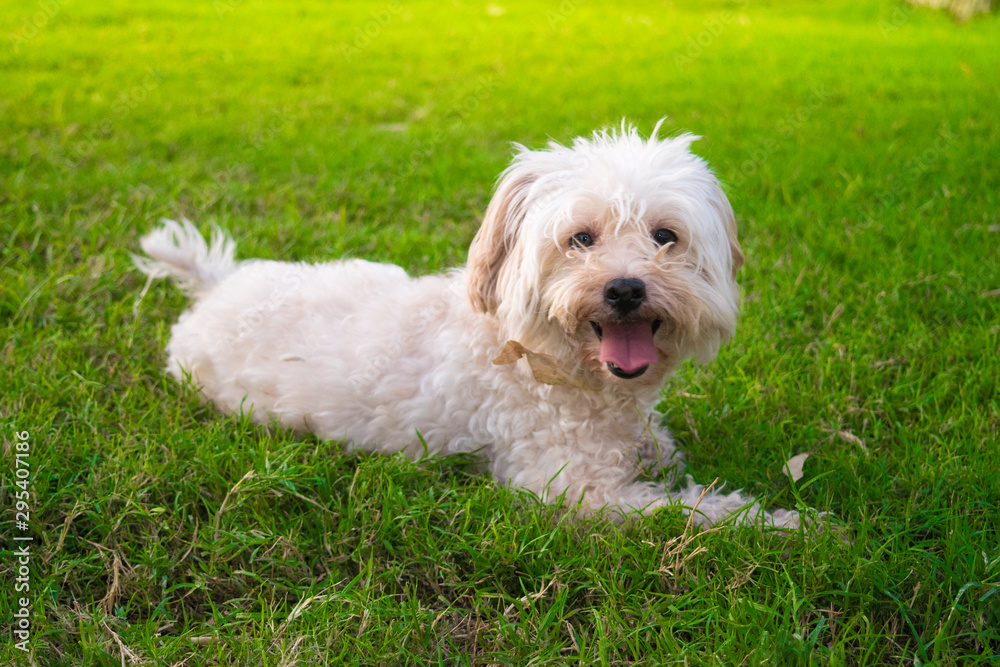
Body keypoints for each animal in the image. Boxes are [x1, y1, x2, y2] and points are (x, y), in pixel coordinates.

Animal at [137, 122, 800, 528]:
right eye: (580, 239)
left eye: (666, 236)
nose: (626, 288)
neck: (540, 358)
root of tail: (214, 284)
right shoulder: (577, 488)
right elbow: (697, 512)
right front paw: (789, 524)